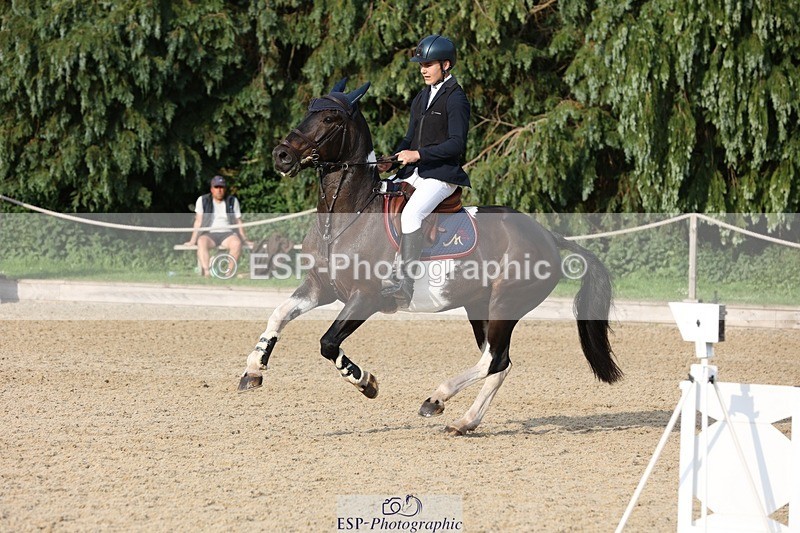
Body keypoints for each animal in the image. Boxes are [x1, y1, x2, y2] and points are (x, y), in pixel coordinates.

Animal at [237, 79, 622, 435]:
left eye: (330, 118)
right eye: (308, 111)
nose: (281, 155)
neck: (348, 216)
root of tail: (545, 235)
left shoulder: (365, 298)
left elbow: (328, 343)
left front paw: (366, 382)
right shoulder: (321, 287)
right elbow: (278, 315)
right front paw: (253, 371)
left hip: (505, 303)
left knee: (495, 360)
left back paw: (438, 400)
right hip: (478, 306)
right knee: (500, 363)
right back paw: (462, 420)